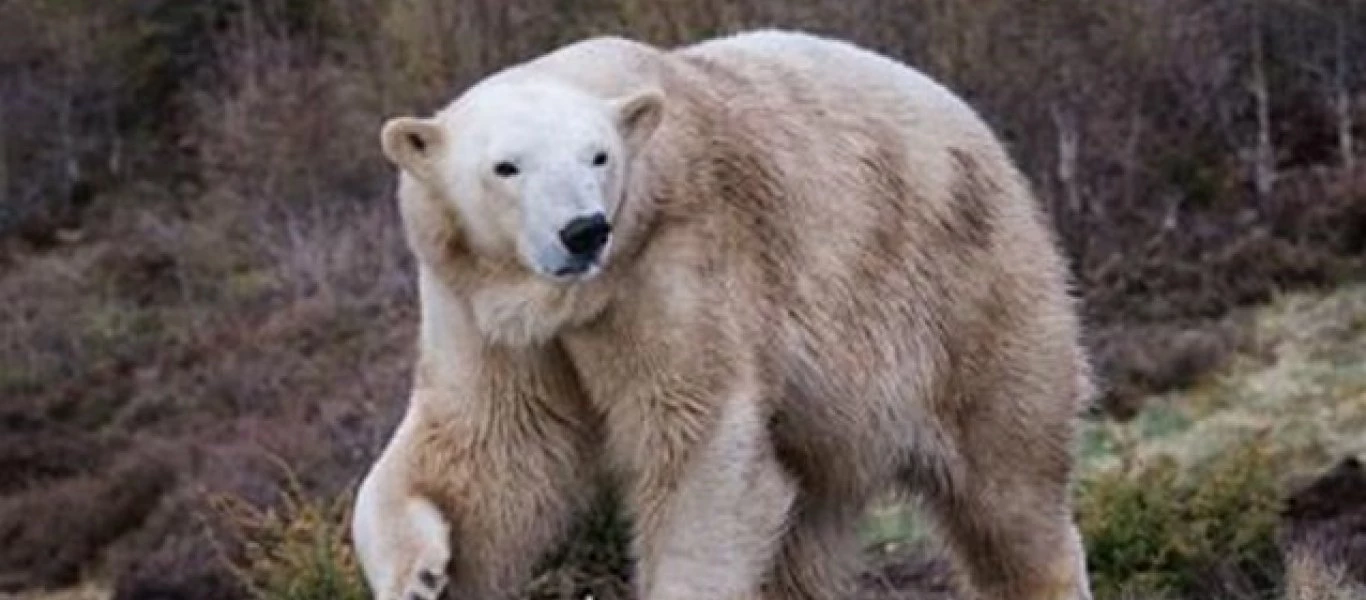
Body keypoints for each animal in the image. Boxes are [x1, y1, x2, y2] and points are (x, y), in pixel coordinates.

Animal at [355, 30, 1098, 600]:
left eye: (598, 155)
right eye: (506, 166)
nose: (584, 231)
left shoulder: (676, 264)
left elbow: (698, 443)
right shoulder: (480, 306)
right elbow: (485, 450)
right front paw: (421, 573)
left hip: (968, 297)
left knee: (1007, 490)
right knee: (809, 527)